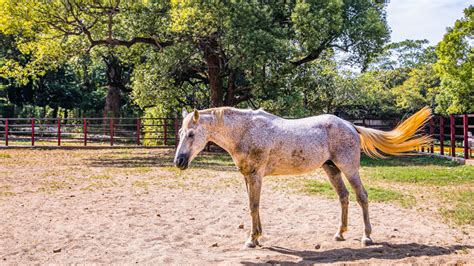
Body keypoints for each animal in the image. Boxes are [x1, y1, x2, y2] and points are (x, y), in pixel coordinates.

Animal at [173, 107, 430, 248]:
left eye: (192, 134)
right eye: (179, 133)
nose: (179, 162)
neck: (245, 131)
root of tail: (350, 125)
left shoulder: (255, 176)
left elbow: (253, 206)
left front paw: (252, 239)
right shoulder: (247, 177)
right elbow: (253, 207)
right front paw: (256, 237)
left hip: (349, 169)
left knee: (362, 197)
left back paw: (367, 237)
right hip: (331, 169)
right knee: (344, 197)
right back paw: (340, 233)